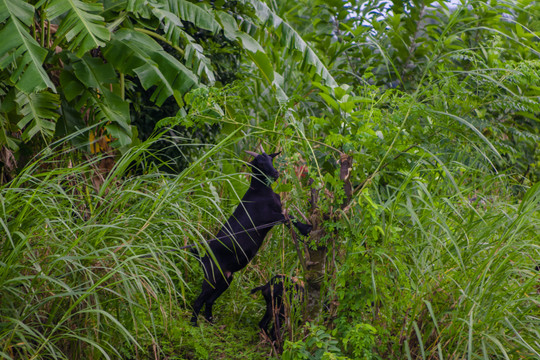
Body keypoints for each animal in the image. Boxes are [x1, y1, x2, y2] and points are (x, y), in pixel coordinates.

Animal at [191, 148, 312, 324]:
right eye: (259, 163)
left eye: (270, 159)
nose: (275, 173)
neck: (261, 192)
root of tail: (202, 258)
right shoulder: (269, 217)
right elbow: (289, 217)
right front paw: (306, 229)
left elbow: (288, 218)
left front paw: (304, 231)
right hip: (212, 276)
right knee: (199, 300)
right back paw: (193, 323)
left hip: (226, 279)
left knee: (209, 300)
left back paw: (210, 320)